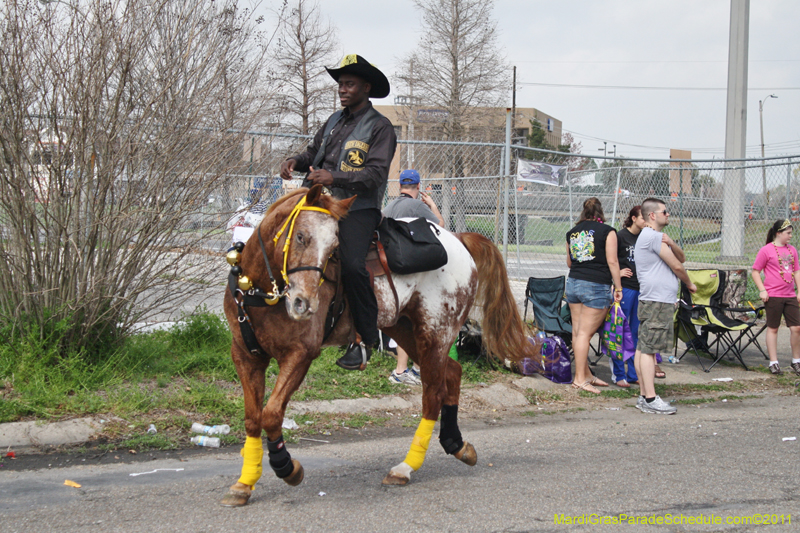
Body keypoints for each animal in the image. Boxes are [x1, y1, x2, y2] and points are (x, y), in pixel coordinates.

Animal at [220, 185, 536, 504]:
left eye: (334, 247)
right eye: (300, 236)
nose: (304, 304)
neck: (260, 292)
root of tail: (458, 239)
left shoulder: (300, 354)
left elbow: (271, 414)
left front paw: (287, 467)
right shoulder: (245, 356)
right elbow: (252, 418)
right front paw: (245, 482)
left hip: (436, 333)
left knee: (432, 396)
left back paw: (405, 468)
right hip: (406, 330)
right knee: (453, 373)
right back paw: (456, 444)